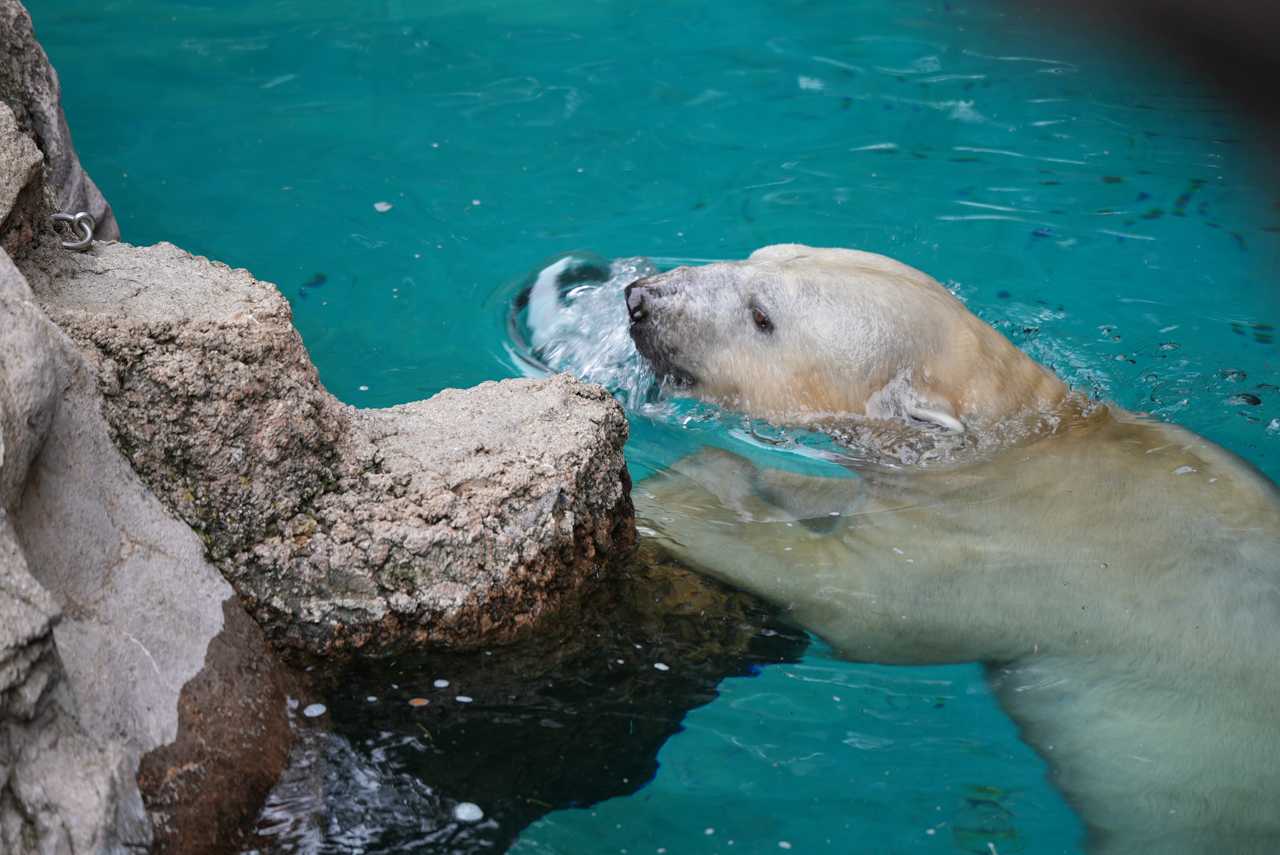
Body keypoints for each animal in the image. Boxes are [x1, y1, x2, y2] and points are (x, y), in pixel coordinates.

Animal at [624, 244, 1280, 855]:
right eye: (758, 255)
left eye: (762, 317)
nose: (641, 298)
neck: (1011, 442)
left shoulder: (994, 546)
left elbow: (862, 599)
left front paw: (685, 488)